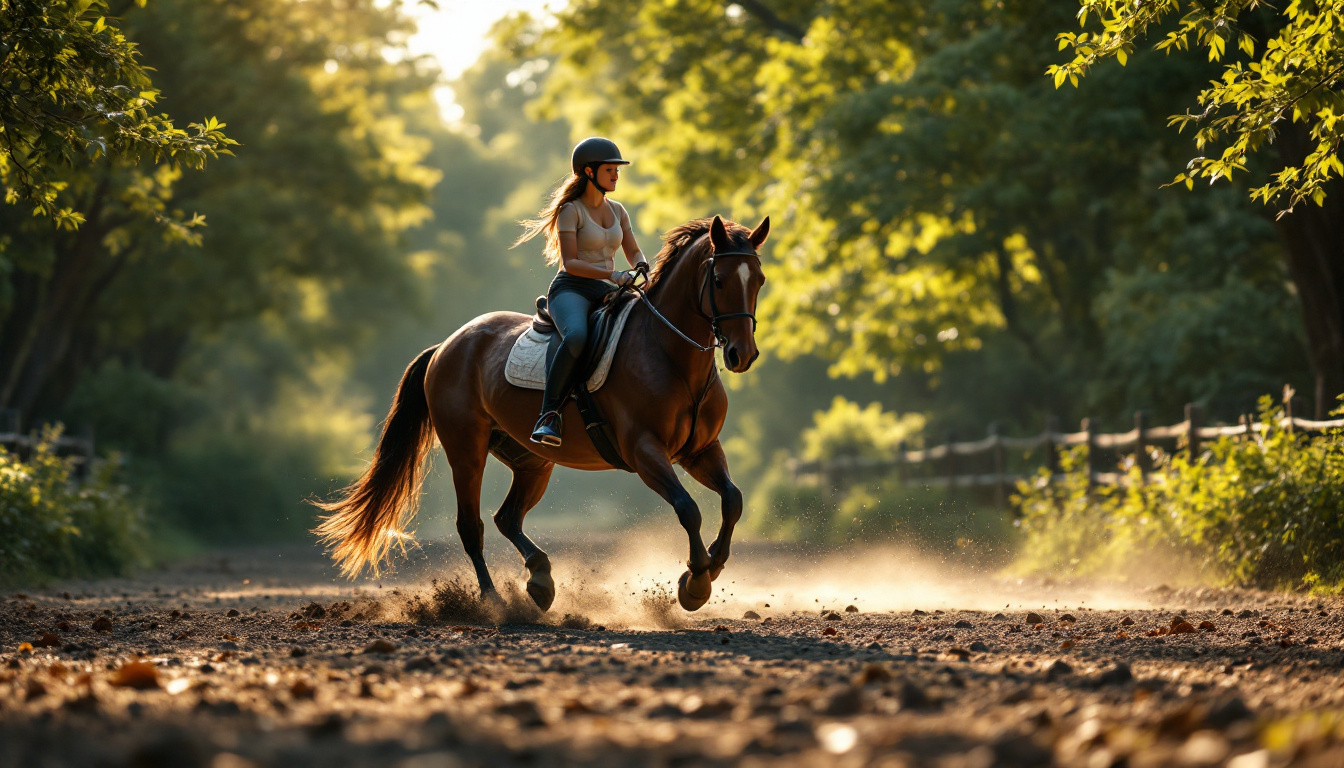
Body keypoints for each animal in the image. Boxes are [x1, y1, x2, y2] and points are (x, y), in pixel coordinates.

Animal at [313, 214, 768, 612]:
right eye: (720, 280)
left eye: (759, 280)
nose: (741, 355)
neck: (669, 354)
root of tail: (447, 345)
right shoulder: (645, 452)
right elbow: (688, 508)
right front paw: (695, 582)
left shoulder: (700, 450)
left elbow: (733, 500)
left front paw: (712, 564)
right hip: (466, 450)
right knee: (471, 526)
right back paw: (494, 601)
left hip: (532, 461)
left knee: (507, 518)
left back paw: (540, 579)